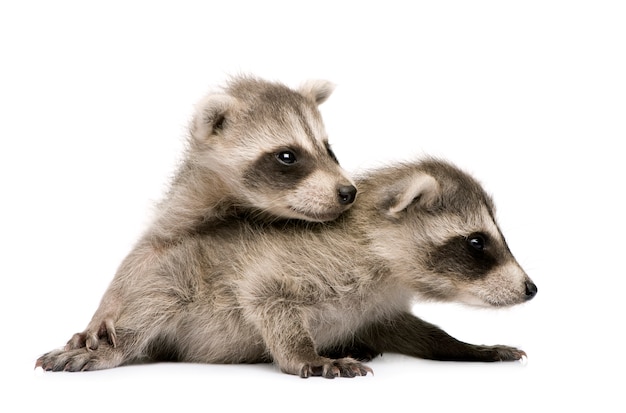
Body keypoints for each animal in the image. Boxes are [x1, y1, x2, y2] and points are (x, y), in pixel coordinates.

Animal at [36, 157, 532, 376]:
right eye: (476, 243)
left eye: (499, 238)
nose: (531, 289)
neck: (388, 269)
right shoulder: (302, 263)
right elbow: (267, 297)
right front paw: (304, 354)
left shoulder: (378, 304)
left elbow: (413, 331)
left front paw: (465, 347)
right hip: (165, 274)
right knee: (153, 305)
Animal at [62, 76, 356, 350]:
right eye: (287, 156)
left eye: (328, 150)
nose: (348, 192)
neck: (246, 204)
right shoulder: (188, 201)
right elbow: (146, 252)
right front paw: (107, 306)